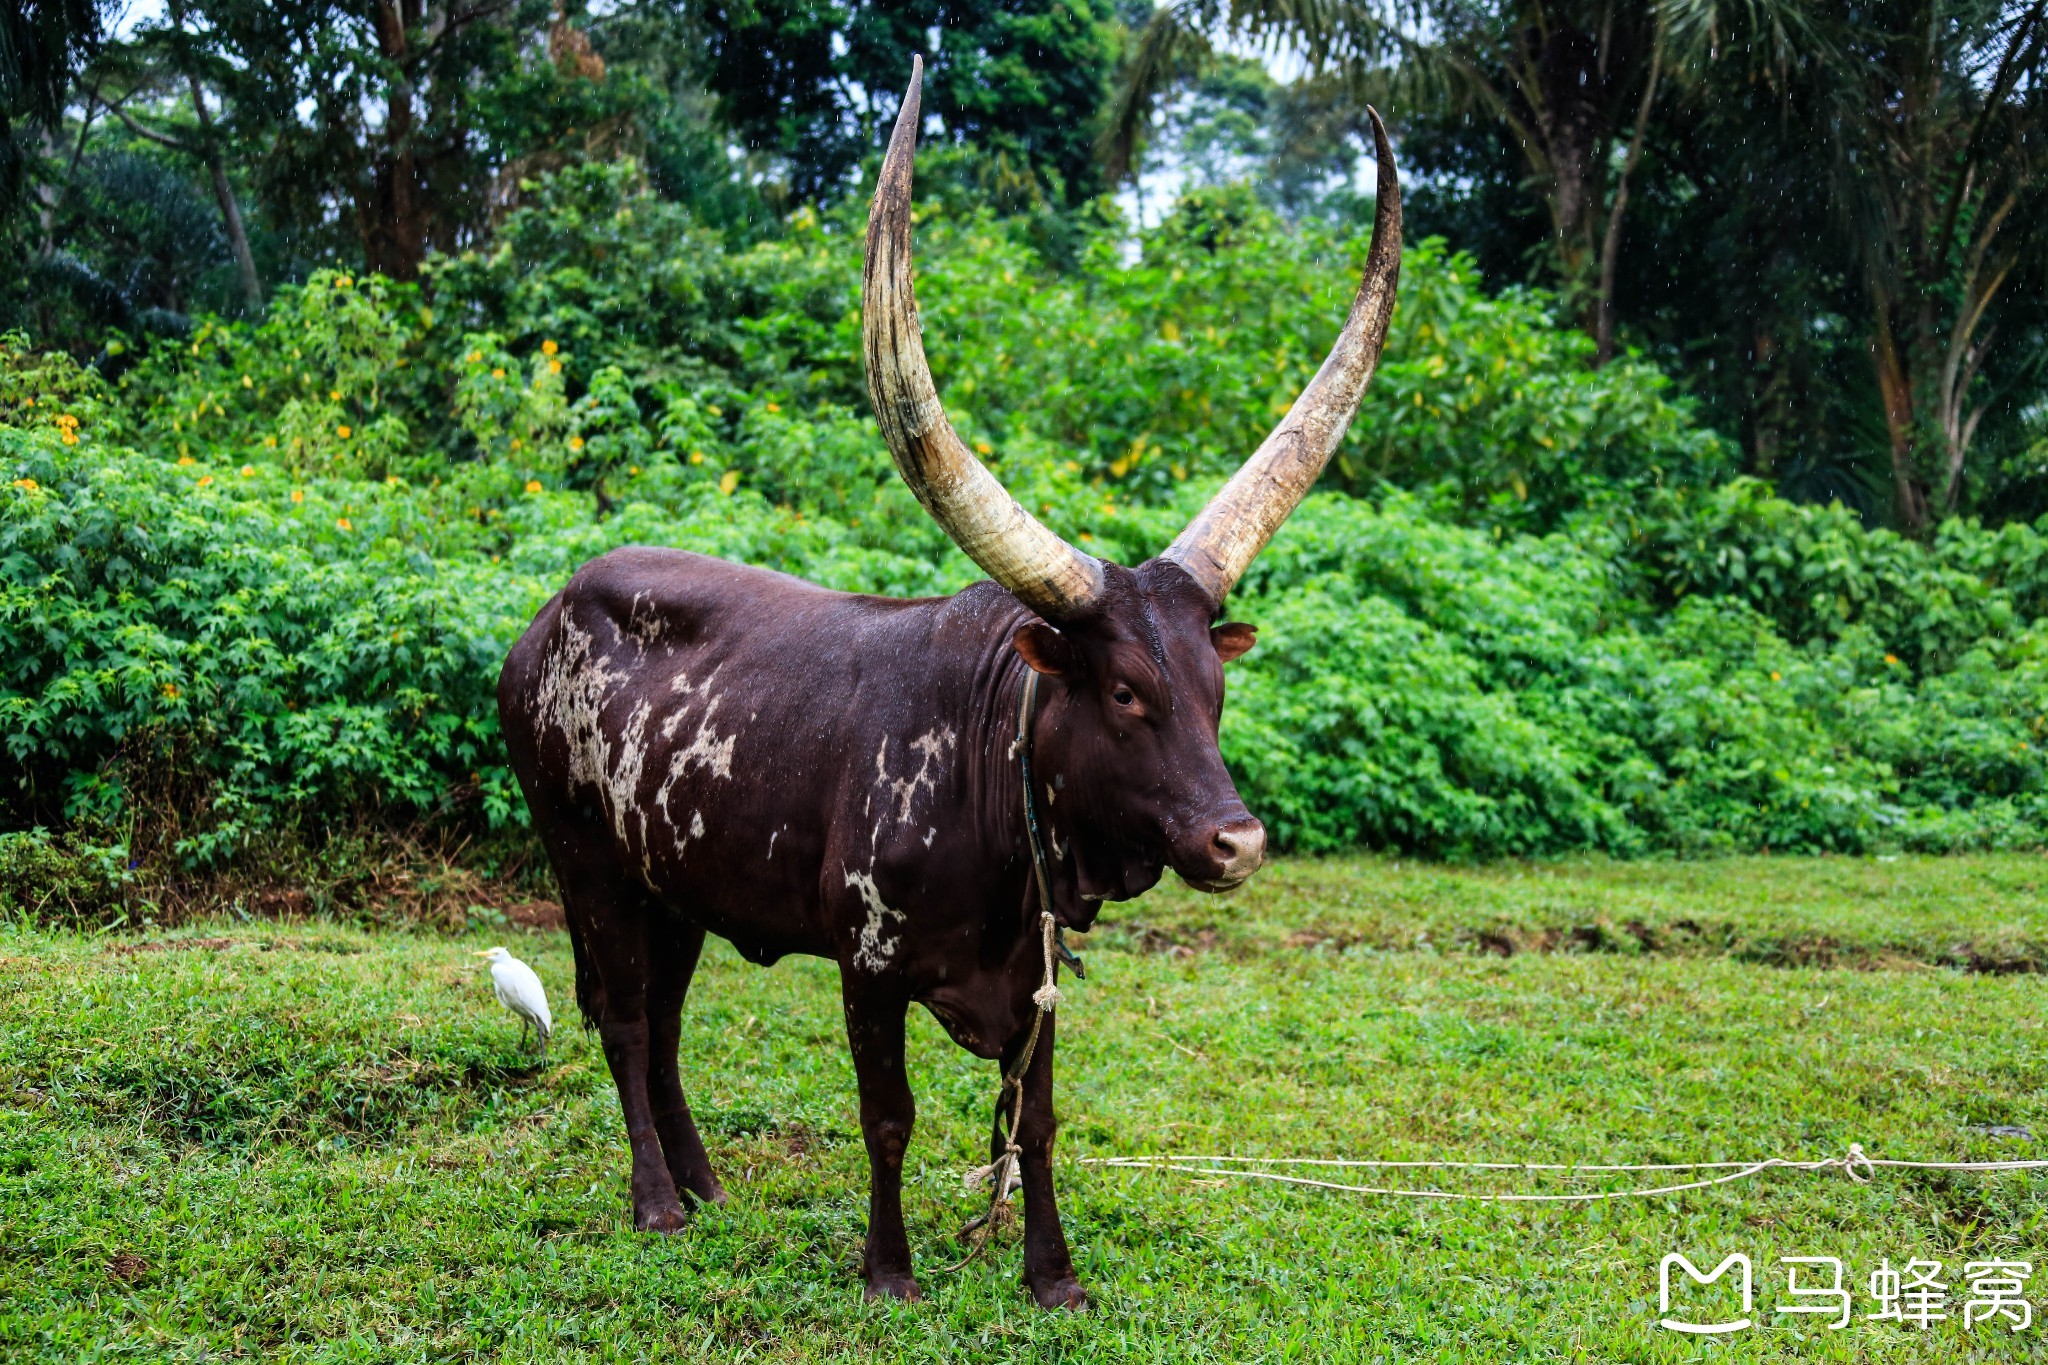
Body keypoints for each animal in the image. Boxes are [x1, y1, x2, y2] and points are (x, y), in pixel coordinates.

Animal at [499, 58, 1392, 1309]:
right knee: (624, 1020)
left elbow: (1037, 1124)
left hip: (673, 881)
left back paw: (706, 1182)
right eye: (1124, 691)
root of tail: (547, 616)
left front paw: (1051, 1278)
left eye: (1215, 687)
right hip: (583, 859)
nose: (1236, 842)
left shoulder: (1037, 980)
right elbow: (888, 1119)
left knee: (665, 1026)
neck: (991, 804)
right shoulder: (867, 972)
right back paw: (657, 1202)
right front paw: (888, 1274)